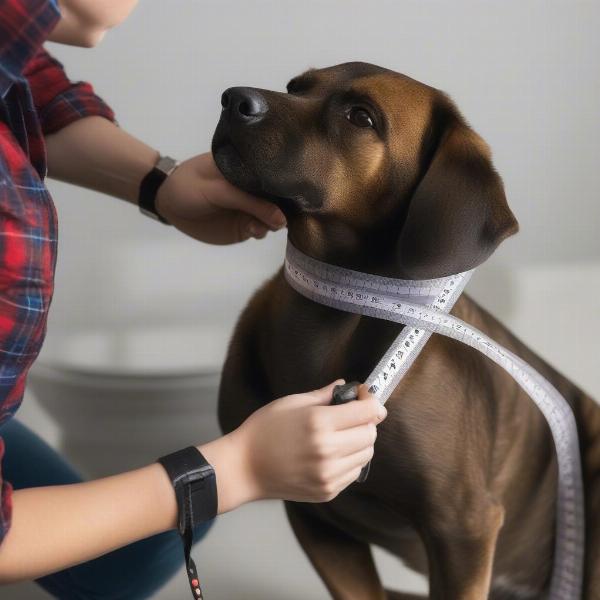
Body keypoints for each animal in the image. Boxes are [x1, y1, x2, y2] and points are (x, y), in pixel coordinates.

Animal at [212, 63, 600, 596]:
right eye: (296, 87)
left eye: (361, 117)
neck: (330, 317)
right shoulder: (315, 519)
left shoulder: (464, 527)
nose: (233, 100)